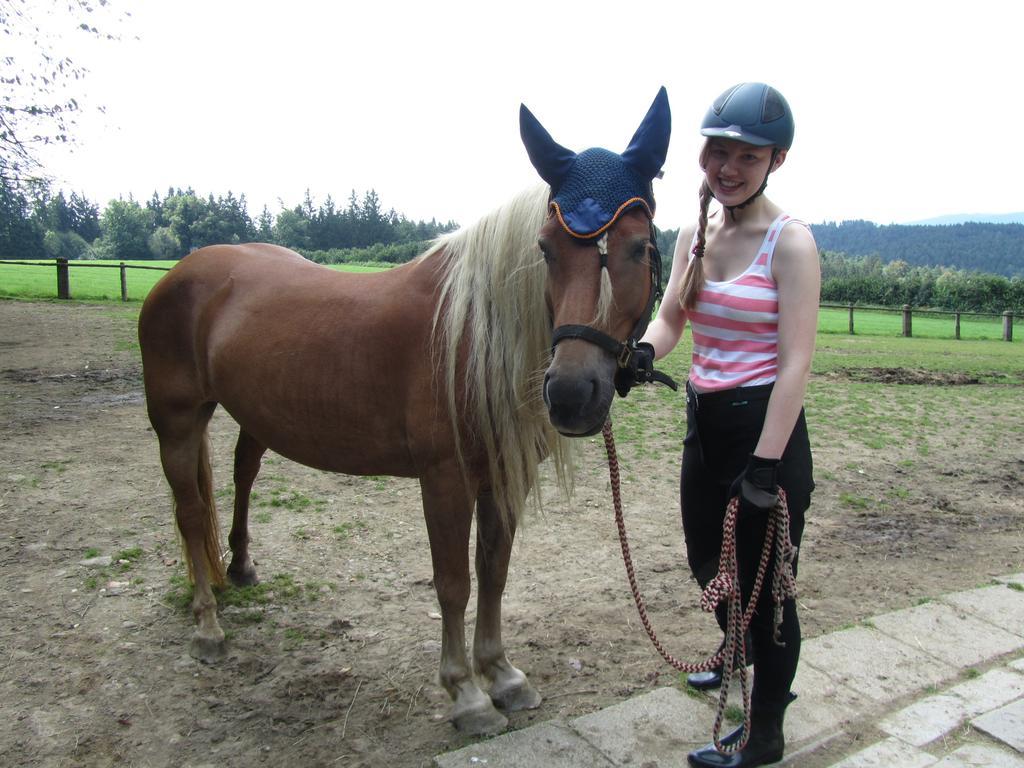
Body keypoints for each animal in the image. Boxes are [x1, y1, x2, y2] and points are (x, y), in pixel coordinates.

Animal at [140, 87, 671, 737]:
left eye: (640, 247)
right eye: (545, 250)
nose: (571, 393)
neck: (470, 333)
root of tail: (183, 272)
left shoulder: (502, 477)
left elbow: (494, 568)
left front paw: (502, 675)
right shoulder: (445, 479)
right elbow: (453, 583)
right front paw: (465, 693)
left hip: (250, 416)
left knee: (242, 475)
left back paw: (238, 567)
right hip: (177, 420)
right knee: (191, 513)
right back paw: (208, 624)